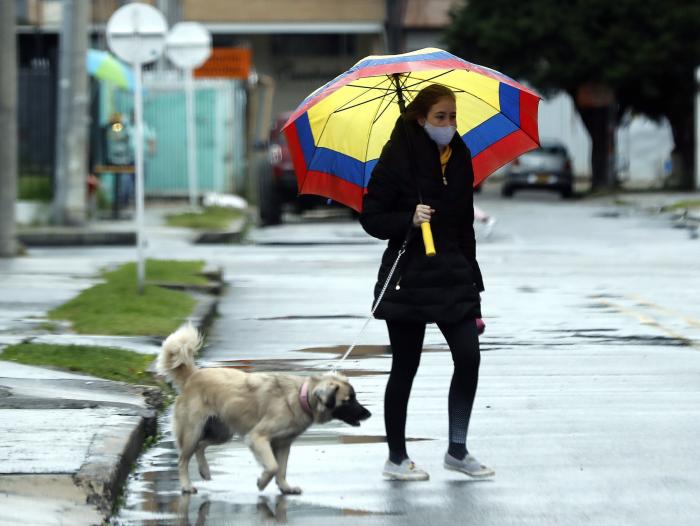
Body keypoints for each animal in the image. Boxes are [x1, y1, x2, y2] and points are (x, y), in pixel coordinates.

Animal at [157, 324, 372, 498]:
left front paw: (285, 487)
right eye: (348, 400)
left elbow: (282, 469)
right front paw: (262, 482)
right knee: (182, 459)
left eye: (354, 397)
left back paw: (204, 470)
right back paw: (186, 485)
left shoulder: (284, 444)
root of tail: (193, 375)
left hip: (222, 432)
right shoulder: (258, 438)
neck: (300, 397)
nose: (368, 414)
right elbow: (273, 466)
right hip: (192, 431)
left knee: (201, 446)